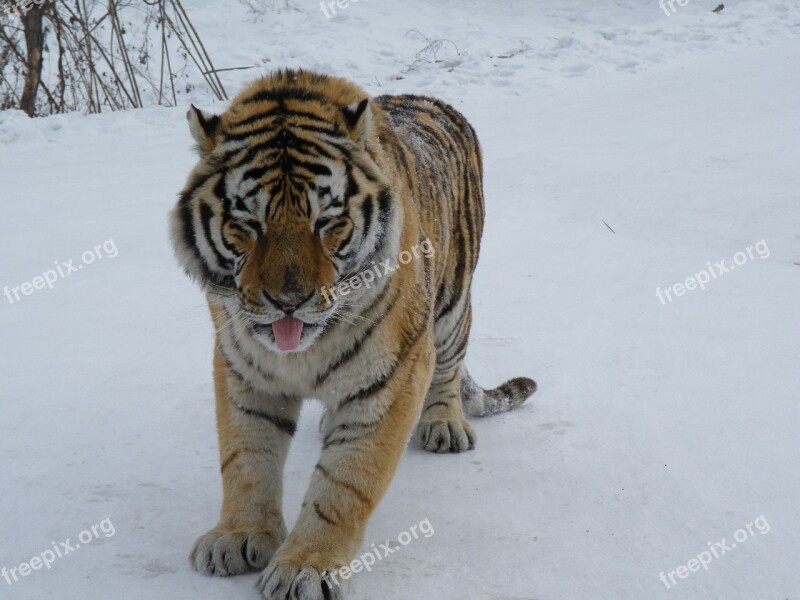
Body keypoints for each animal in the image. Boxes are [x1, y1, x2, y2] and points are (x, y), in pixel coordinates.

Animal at [172, 69, 540, 596]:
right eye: (249, 224)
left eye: (327, 222)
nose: (289, 300)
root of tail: (431, 100)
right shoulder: (242, 367)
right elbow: (245, 456)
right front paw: (238, 536)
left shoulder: (392, 375)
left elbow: (344, 482)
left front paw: (305, 566)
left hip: (452, 304)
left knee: (449, 368)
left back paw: (444, 425)